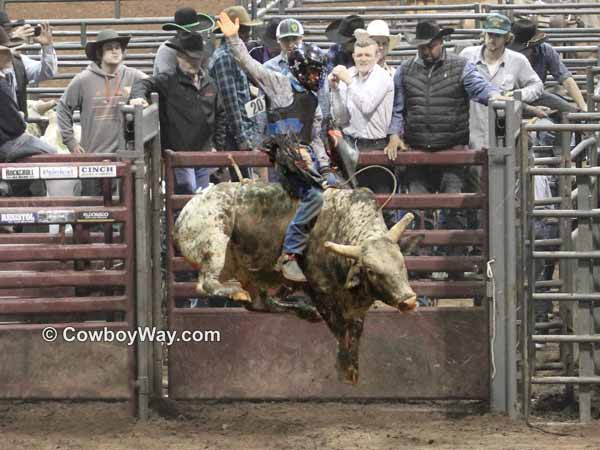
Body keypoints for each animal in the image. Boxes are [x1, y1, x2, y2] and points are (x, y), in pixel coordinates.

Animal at [171, 179, 420, 384]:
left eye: (402, 264)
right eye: (371, 270)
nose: (408, 301)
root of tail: (186, 212)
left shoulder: (355, 304)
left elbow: (355, 330)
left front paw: (353, 369)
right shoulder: (320, 290)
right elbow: (340, 329)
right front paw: (344, 368)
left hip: (248, 273)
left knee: (260, 303)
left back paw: (304, 310)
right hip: (215, 241)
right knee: (207, 284)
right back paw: (237, 291)